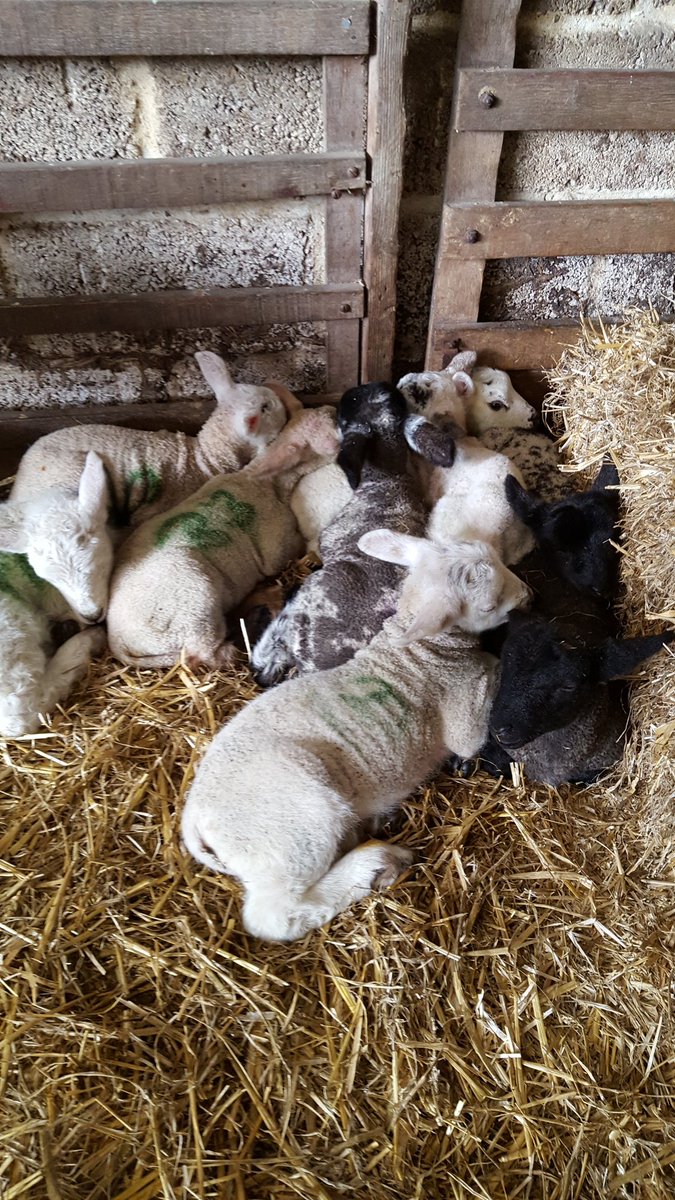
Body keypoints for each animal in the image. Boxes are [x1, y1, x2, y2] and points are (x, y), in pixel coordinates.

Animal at [0, 454, 113, 736]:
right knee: (21, 714)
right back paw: (85, 643)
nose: (92, 614)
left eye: (99, 563)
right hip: (13, 633)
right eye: (48, 577)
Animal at [106, 405, 340, 670]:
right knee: (206, 654)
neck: (266, 481)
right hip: (193, 608)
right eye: (334, 429)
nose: (334, 408)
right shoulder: (278, 548)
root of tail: (119, 642)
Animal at [181, 566, 512, 941]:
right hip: (295, 827)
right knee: (274, 916)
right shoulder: (463, 712)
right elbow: (483, 696)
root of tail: (193, 817)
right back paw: (372, 865)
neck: (417, 655)